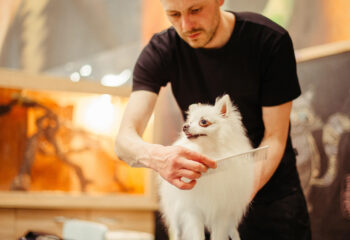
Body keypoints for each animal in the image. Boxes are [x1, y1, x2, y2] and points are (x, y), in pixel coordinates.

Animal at [159, 94, 254, 240]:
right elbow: (198, 235)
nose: (185, 126)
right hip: (176, 215)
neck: (209, 153)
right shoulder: (193, 212)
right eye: (189, 121)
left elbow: (218, 235)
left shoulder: (222, 213)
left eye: (203, 122)